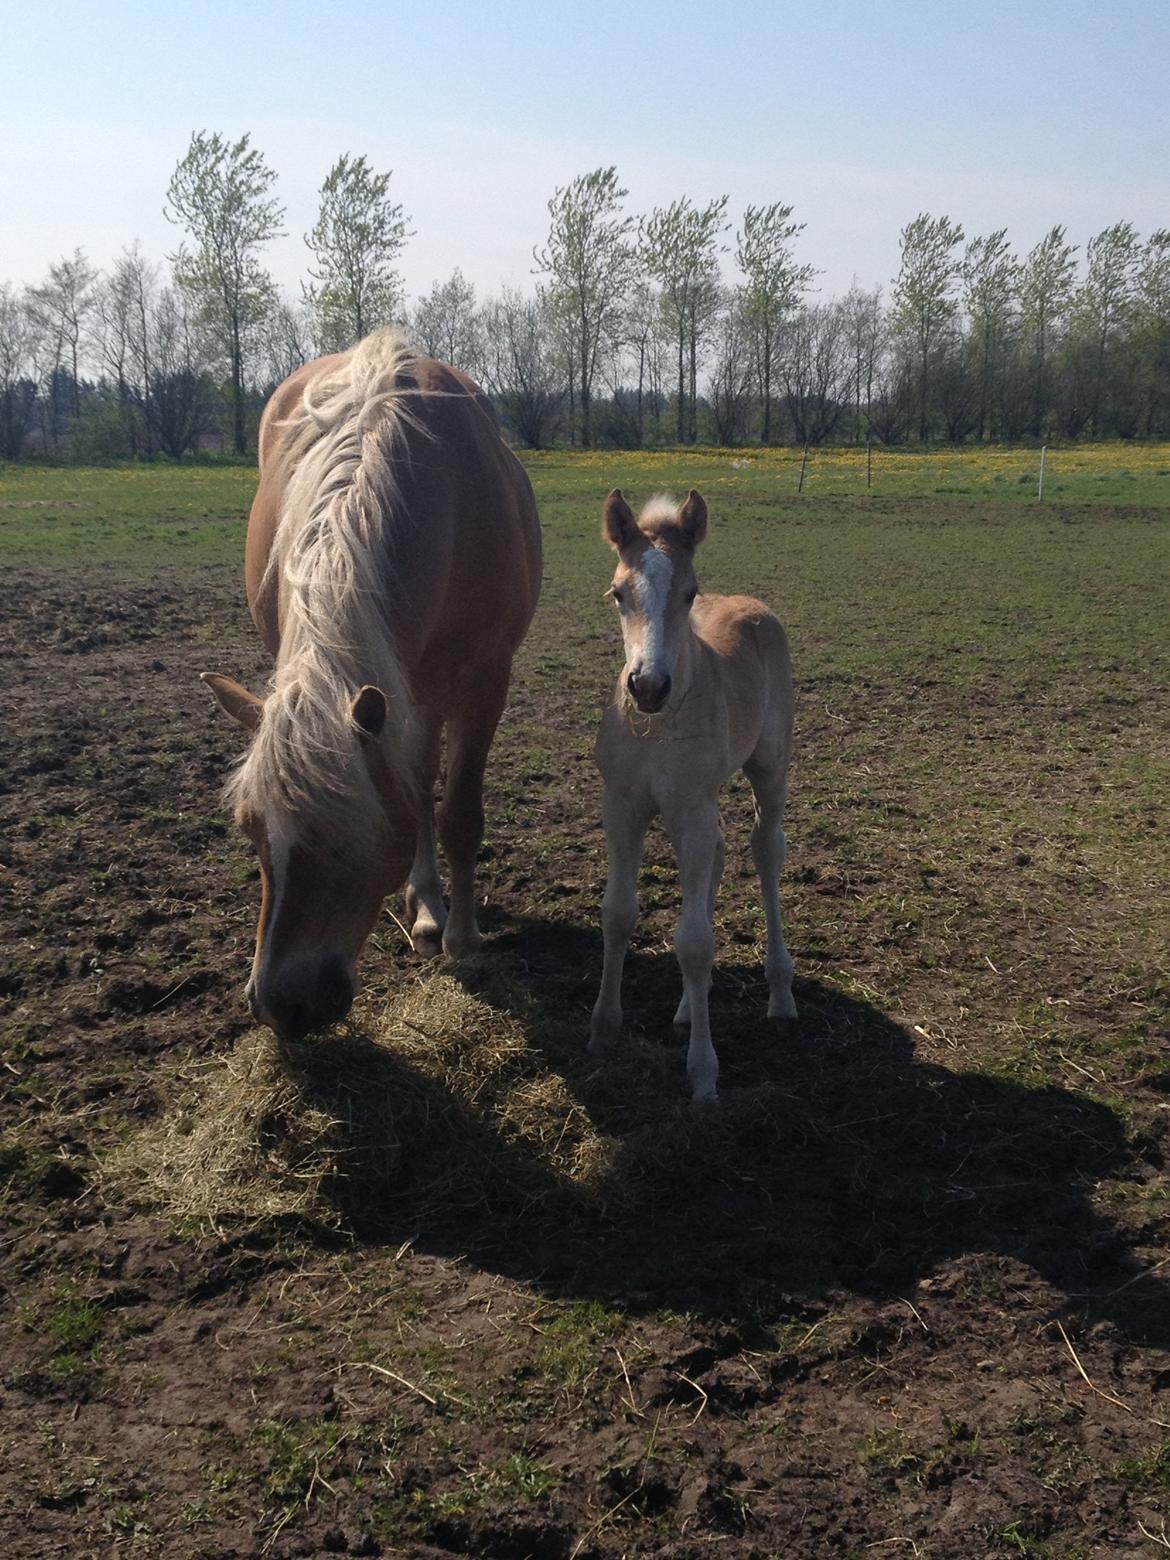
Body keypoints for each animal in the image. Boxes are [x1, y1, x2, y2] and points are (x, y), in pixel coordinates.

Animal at [202, 327, 546, 1042]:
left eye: (343, 834)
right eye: (250, 829)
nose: (281, 1005)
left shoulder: (484, 681)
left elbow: (459, 814)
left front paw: (465, 940)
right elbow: (413, 794)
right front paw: (430, 911)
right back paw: (425, 905)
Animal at [589, 492, 804, 1104]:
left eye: (688, 593)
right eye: (618, 593)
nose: (648, 687)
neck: (657, 726)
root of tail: (752, 605)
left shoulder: (689, 812)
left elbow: (695, 946)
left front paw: (704, 1073)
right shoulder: (623, 806)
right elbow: (618, 913)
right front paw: (604, 1027)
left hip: (768, 769)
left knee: (764, 850)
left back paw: (780, 992)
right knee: (723, 850)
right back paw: (688, 1006)